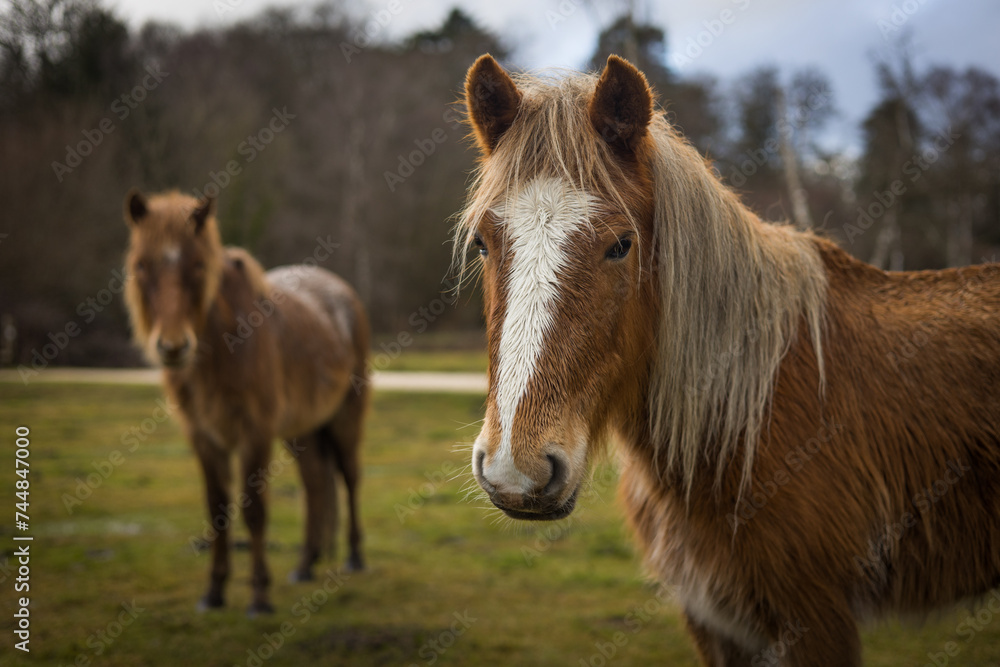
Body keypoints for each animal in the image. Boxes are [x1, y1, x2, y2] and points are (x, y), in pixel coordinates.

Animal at [125, 189, 368, 616]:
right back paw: (305, 564)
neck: (226, 346)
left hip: (346, 416)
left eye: (198, 265)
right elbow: (217, 509)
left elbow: (254, 509)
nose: (172, 346)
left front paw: (259, 597)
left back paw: (355, 558)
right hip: (301, 430)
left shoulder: (255, 432)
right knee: (315, 484)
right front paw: (214, 592)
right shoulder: (204, 437)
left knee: (350, 477)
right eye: (141, 265)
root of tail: (343, 293)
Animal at [458, 54, 1000, 664]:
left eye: (621, 244)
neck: (740, 429)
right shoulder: (715, 621)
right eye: (482, 243)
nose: (516, 470)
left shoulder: (817, 622)